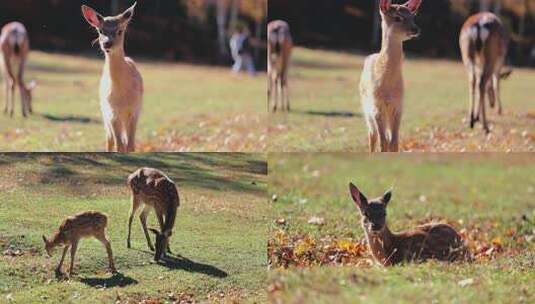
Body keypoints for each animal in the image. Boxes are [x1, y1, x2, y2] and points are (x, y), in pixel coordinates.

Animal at [81, 2, 142, 152]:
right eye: (100, 31)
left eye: (120, 31)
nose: (107, 43)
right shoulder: (112, 112)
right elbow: (118, 145)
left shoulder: (135, 110)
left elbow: (130, 145)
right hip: (104, 112)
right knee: (109, 139)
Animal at [360, 0, 422, 152]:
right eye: (397, 17)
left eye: (413, 16)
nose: (415, 29)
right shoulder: (376, 106)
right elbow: (383, 143)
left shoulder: (398, 105)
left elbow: (394, 143)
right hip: (366, 108)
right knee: (372, 135)